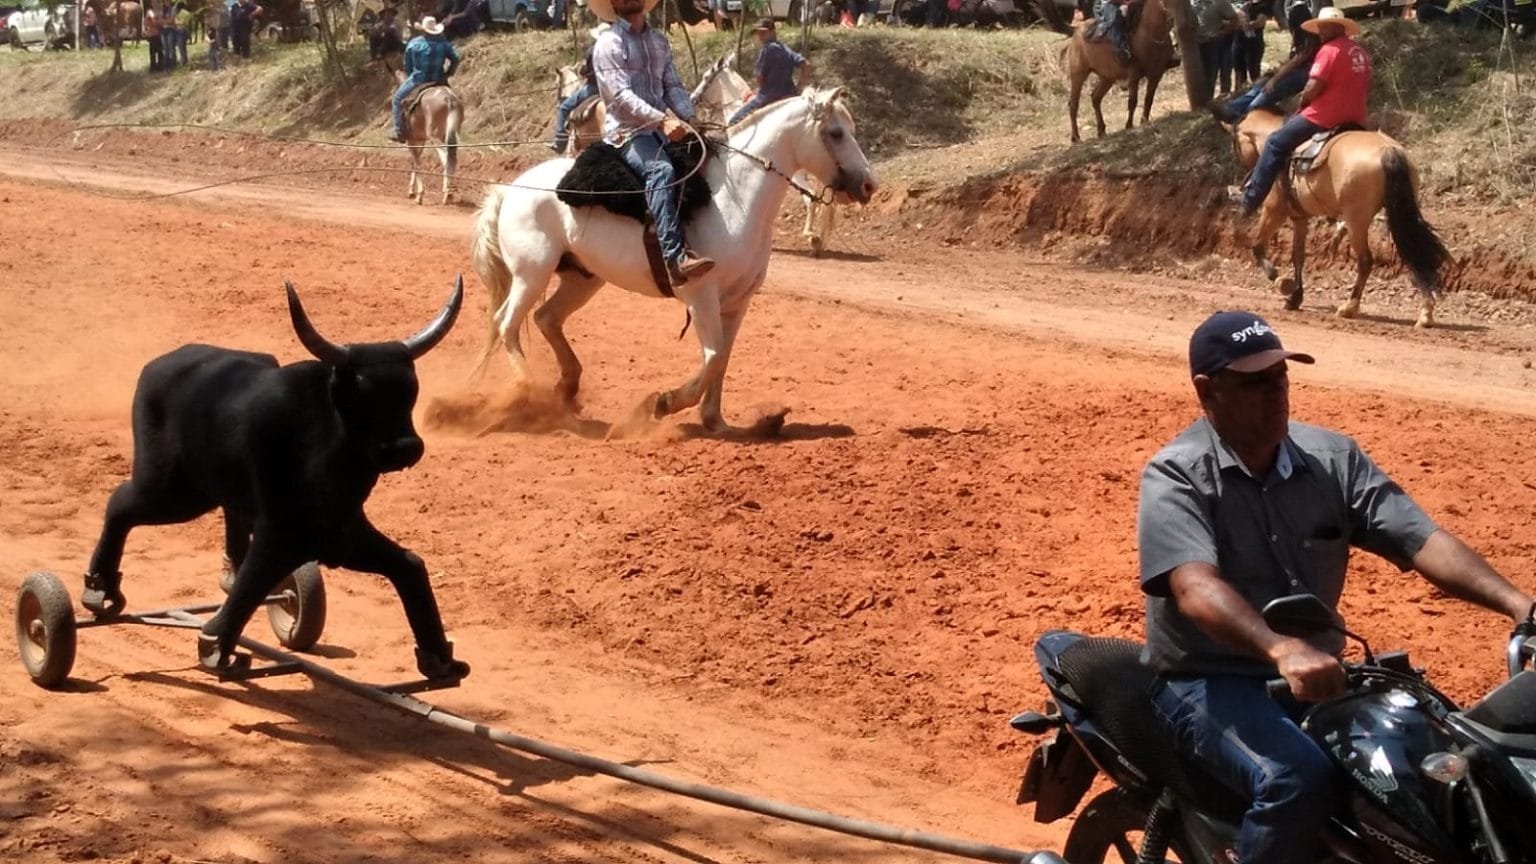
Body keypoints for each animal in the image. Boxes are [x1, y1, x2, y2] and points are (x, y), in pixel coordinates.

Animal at [80, 277, 470, 682]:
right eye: (361, 393)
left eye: (411, 388)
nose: (405, 448)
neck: (326, 451)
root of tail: (158, 366)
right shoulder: (280, 532)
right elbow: (254, 581)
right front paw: (216, 645)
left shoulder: (344, 536)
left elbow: (409, 566)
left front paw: (439, 657)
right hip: (170, 491)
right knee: (119, 504)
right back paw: (99, 589)